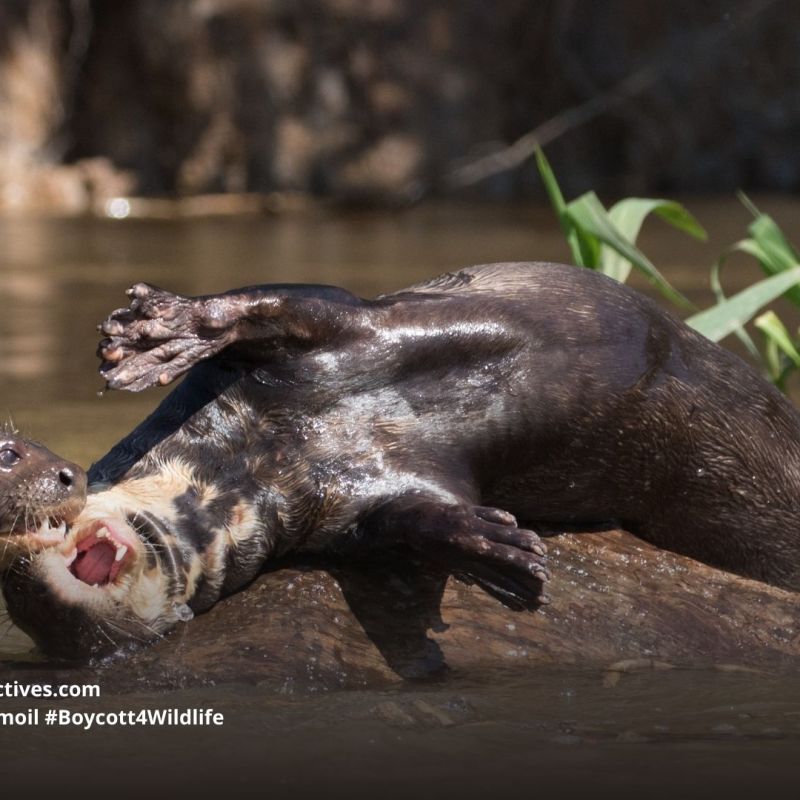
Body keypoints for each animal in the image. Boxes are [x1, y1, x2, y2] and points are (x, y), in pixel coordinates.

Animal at [4, 261, 800, 660]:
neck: (260, 459)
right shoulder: (345, 513)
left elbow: (278, 302)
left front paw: (159, 332)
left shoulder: (343, 325)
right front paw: (497, 550)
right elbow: (410, 519)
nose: (39, 581)